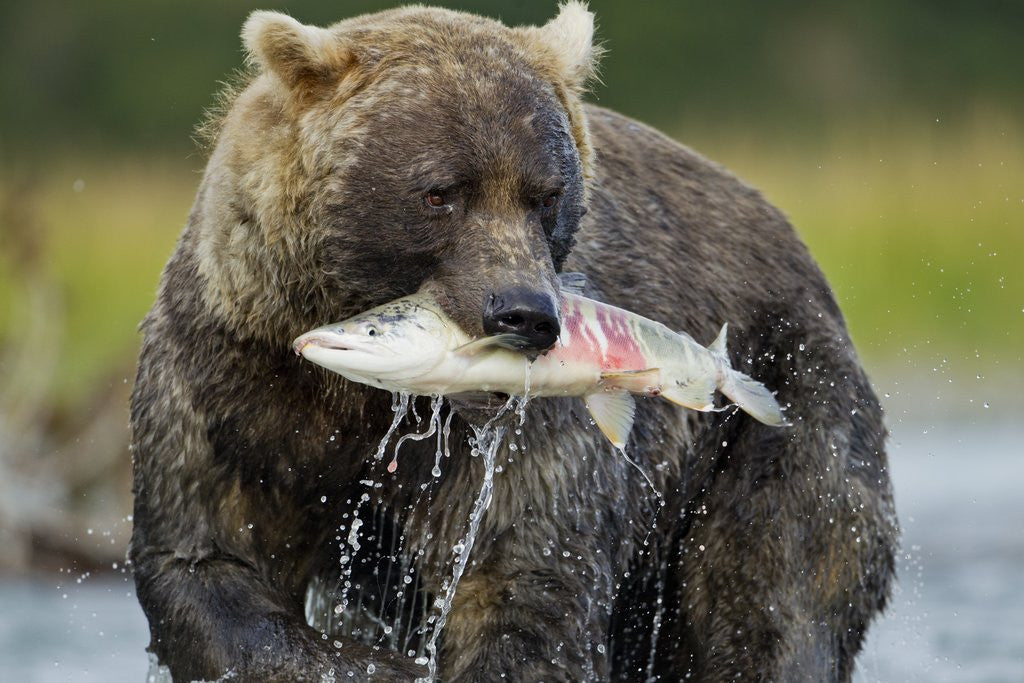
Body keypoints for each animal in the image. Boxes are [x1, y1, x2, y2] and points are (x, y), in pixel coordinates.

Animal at [130, 2, 897, 679]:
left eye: (547, 194)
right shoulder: (234, 378)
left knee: (775, 584)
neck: (360, 402)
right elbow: (208, 558)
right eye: (440, 192)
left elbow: (526, 582)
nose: (525, 314)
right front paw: (377, 664)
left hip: (780, 402)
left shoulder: (528, 440)